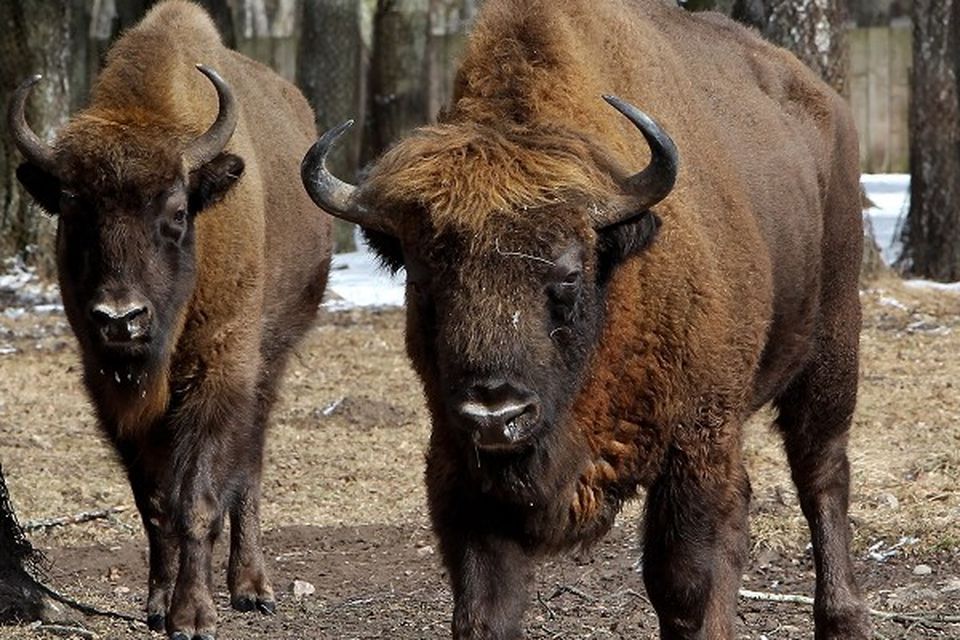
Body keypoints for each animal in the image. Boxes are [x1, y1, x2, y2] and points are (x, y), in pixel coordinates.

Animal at [9, 2, 332, 636]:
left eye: (178, 212)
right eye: (73, 212)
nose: (120, 317)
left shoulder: (219, 371)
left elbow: (199, 497)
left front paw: (194, 615)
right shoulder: (110, 386)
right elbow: (154, 500)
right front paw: (159, 604)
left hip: (272, 357)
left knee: (250, 465)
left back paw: (252, 588)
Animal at [302, 1, 872, 640]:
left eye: (569, 274)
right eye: (423, 280)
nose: (496, 413)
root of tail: (826, 103)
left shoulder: (695, 442)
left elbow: (682, 585)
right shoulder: (461, 470)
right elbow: (483, 605)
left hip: (831, 346)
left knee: (821, 472)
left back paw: (845, 619)